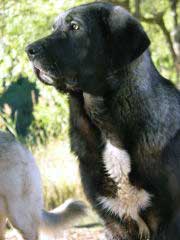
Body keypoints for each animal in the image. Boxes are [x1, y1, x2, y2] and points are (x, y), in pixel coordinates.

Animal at [26, 2, 180, 240]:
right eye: (54, 28)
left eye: (75, 26)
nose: (29, 50)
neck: (107, 127)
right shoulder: (114, 222)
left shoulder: (169, 220)